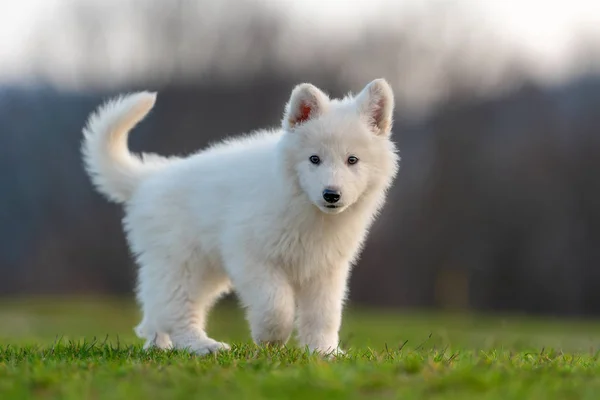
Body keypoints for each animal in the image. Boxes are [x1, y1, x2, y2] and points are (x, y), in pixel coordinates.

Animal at [79, 79, 398, 354]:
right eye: (314, 159)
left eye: (352, 160)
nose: (331, 194)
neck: (306, 207)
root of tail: (148, 178)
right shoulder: (250, 256)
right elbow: (276, 303)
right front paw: (271, 338)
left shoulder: (327, 268)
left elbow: (324, 314)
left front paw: (324, 352)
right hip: (183, 264)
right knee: (175, 310)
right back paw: (201, 346)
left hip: (198, 270)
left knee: (156, 311)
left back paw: (160, 346)